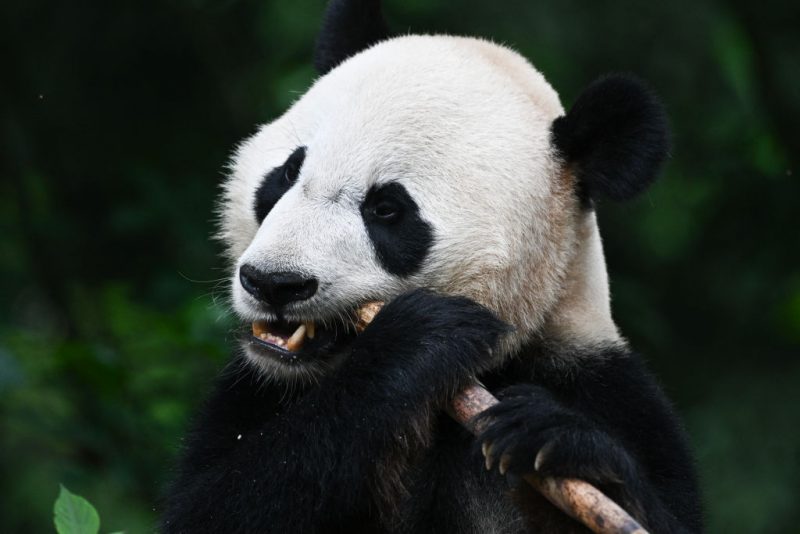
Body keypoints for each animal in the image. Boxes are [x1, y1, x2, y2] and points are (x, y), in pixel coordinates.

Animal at [161, 2, 700, 532]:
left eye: (386, 209)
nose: (274, 283)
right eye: (288, 173)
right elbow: (218, 505)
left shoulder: (605, 388)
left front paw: (558, 443)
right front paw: (422, 336)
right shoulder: (254, 389)